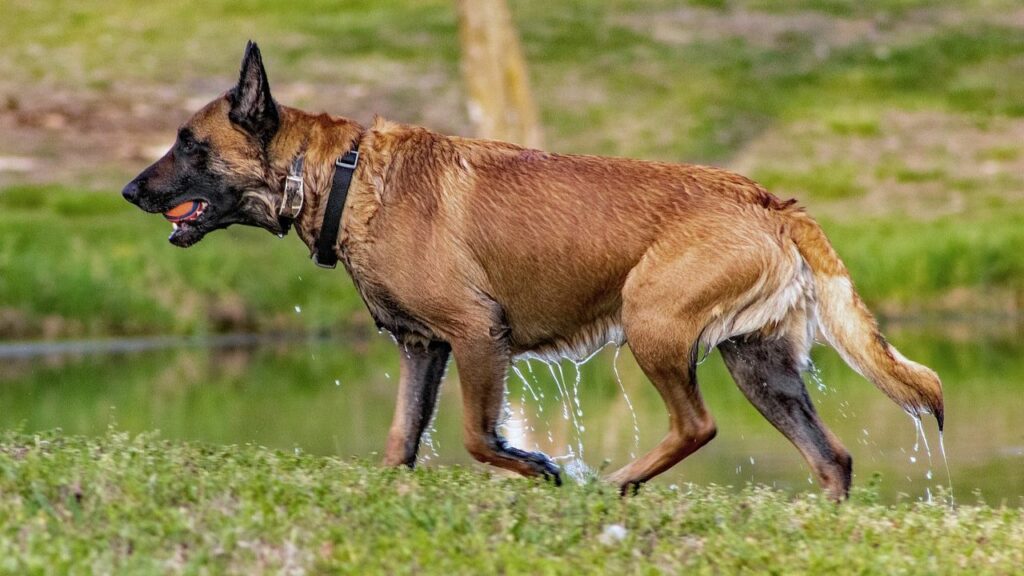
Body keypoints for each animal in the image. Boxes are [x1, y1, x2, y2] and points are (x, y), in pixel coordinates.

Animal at [121, 42, 942, 496]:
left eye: (188, 144)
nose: (129, 191)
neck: (341, 174)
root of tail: (770, 200)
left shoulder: (477, 337)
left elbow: (479, 438)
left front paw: (543, 468)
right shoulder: (424, 349)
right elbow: (399, 444)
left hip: (652, 323)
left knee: (698, 425)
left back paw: (613, 484)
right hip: (760, 364)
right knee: (832, 458)